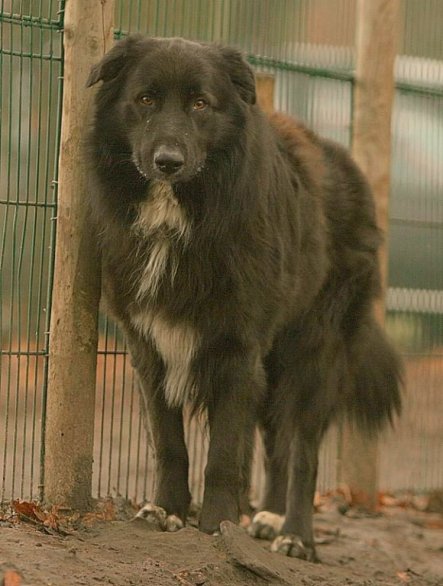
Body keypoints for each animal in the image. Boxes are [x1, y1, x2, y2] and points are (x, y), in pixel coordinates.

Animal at [86, 34, 402, 560]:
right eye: (145, 99)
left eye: (201, 104)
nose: (167, 161)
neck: (178, 213)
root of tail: (343, 160)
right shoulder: (150, 347)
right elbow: (170, 442)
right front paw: (166, 510)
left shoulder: (236, 350)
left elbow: (224, 454)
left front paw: (216, 524)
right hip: (274, 362)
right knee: (277, 443)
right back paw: (269, 518)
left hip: (313, 356)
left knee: (304, 450)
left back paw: (296, 535)